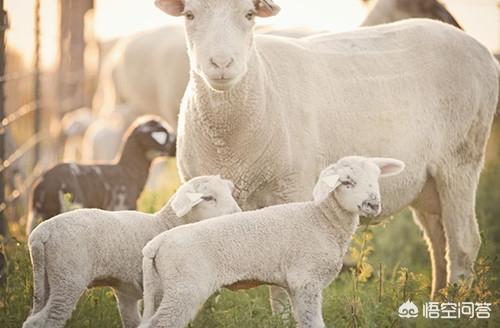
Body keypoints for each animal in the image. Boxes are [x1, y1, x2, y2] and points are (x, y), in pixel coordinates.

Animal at [22, 174, 241, 328]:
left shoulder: (126, 291)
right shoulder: (158, 290)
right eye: (208, 198)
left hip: (47, 279)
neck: (165, 224)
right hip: (68, 276)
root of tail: (41, 233)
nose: (237, 215)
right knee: (44, 320)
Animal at [26, 116, 178, 234]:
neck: (128, 171)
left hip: (34, 217)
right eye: (166, 134)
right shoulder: (123, 206)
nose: (177, 145)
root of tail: (45, 185)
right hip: (72, 206)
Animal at [139, 157, 404, 328]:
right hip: (184, 289)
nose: (373, 204)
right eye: (347, 183)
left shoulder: (295, 285)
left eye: (377, 179)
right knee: (161, 323)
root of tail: (157, 243)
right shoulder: (305, 280)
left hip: (161, 287)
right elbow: (314, 322)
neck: (322, 219)